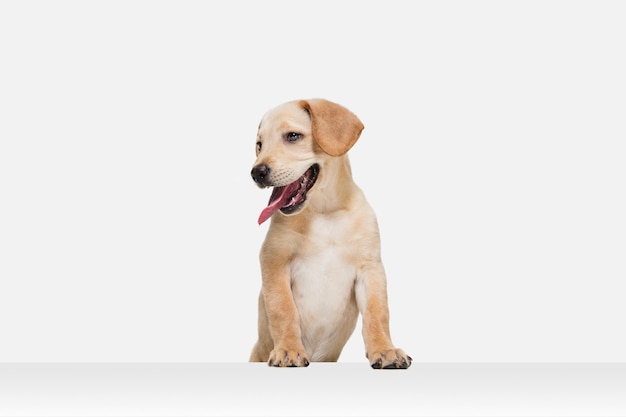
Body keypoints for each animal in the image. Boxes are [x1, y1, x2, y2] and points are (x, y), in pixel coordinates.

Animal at [246, 97, 412, 368]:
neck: (325, 211)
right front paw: (289, 349)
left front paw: (385, 350)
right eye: (259, 145)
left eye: (293, 136)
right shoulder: (274, 262)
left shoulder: (370, 270)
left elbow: (377, 314)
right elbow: (283, 310)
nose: (256, 173)